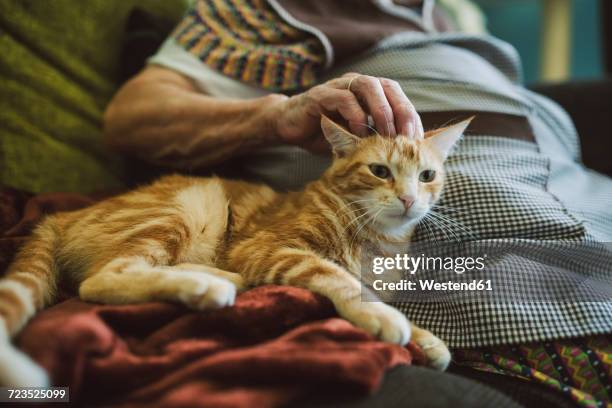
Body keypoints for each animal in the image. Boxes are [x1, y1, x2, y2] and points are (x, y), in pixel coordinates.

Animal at [0, 115, 470, 386]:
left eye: (427, 176)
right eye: (379, 171)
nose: (409, 199)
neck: (379, 242)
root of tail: (61, 216)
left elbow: (376, 294)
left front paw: (426, 339)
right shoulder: (268, 247)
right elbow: (337, 277)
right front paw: (385, 319)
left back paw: (220, 278)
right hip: (188, 205)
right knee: (99, 279)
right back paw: (203, 287)